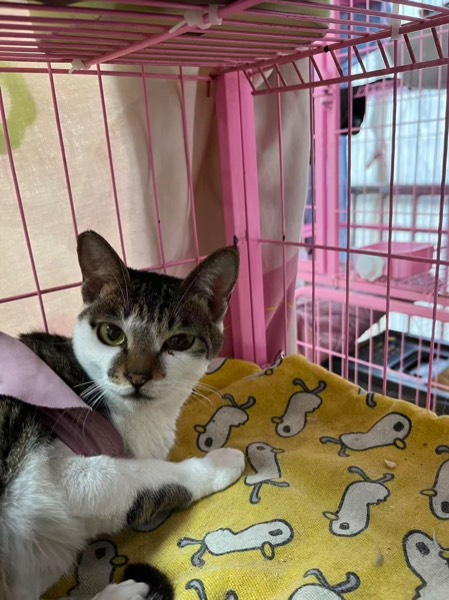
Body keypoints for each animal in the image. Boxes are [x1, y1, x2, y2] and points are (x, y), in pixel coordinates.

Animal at [0, 230, 244, 600]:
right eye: (112, 334)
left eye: (179, 341)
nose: (138, 376)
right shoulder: (52, 475)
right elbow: (146, 476)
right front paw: (218, 464)